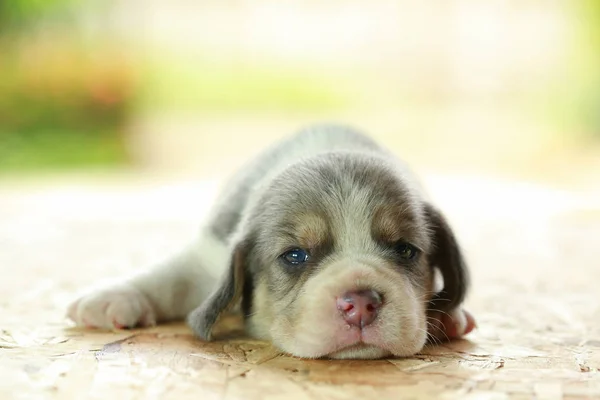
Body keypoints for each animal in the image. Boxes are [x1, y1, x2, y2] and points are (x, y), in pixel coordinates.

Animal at [68, 125, 474, 360]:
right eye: (294, 255)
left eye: (405, 250)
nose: (360, 303)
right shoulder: (210, 252)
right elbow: (171, 278)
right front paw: (111, 298)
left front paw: (447, 314)